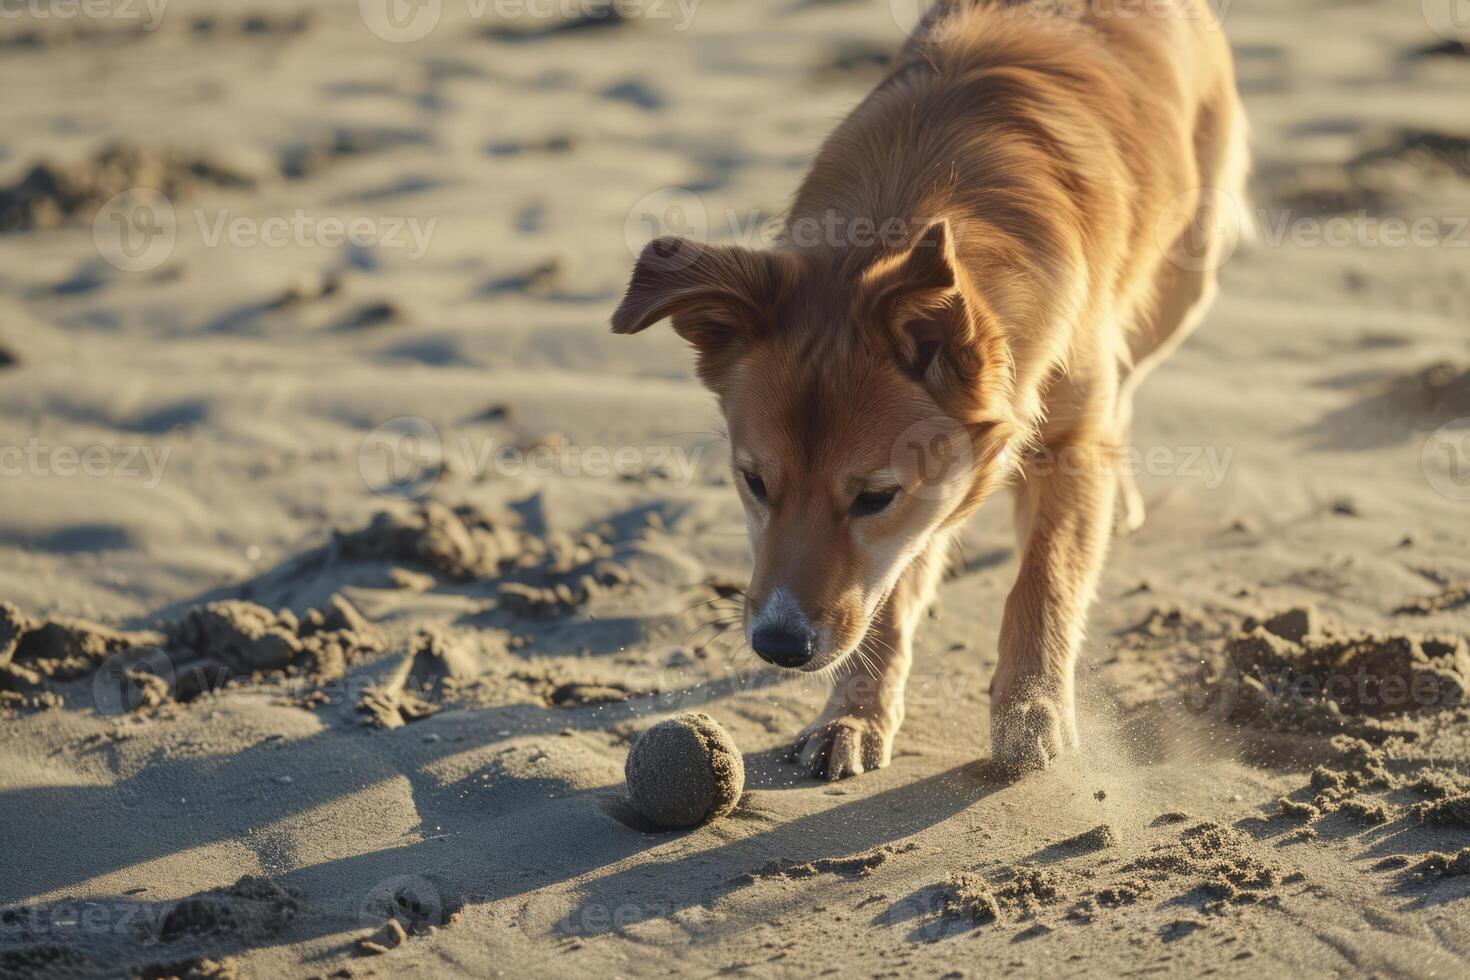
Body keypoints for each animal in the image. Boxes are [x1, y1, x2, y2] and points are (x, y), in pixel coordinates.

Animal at [614, 0, 1246, 781]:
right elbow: (888, 596)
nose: (778, 647)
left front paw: (1031, 708)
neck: (914, 206)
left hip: (1186, 280)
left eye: (874, 497)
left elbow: (1047, 577)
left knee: (1126, 386)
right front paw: (855, 714)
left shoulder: (1062, 443)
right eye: (754, 484)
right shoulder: (917, 512)